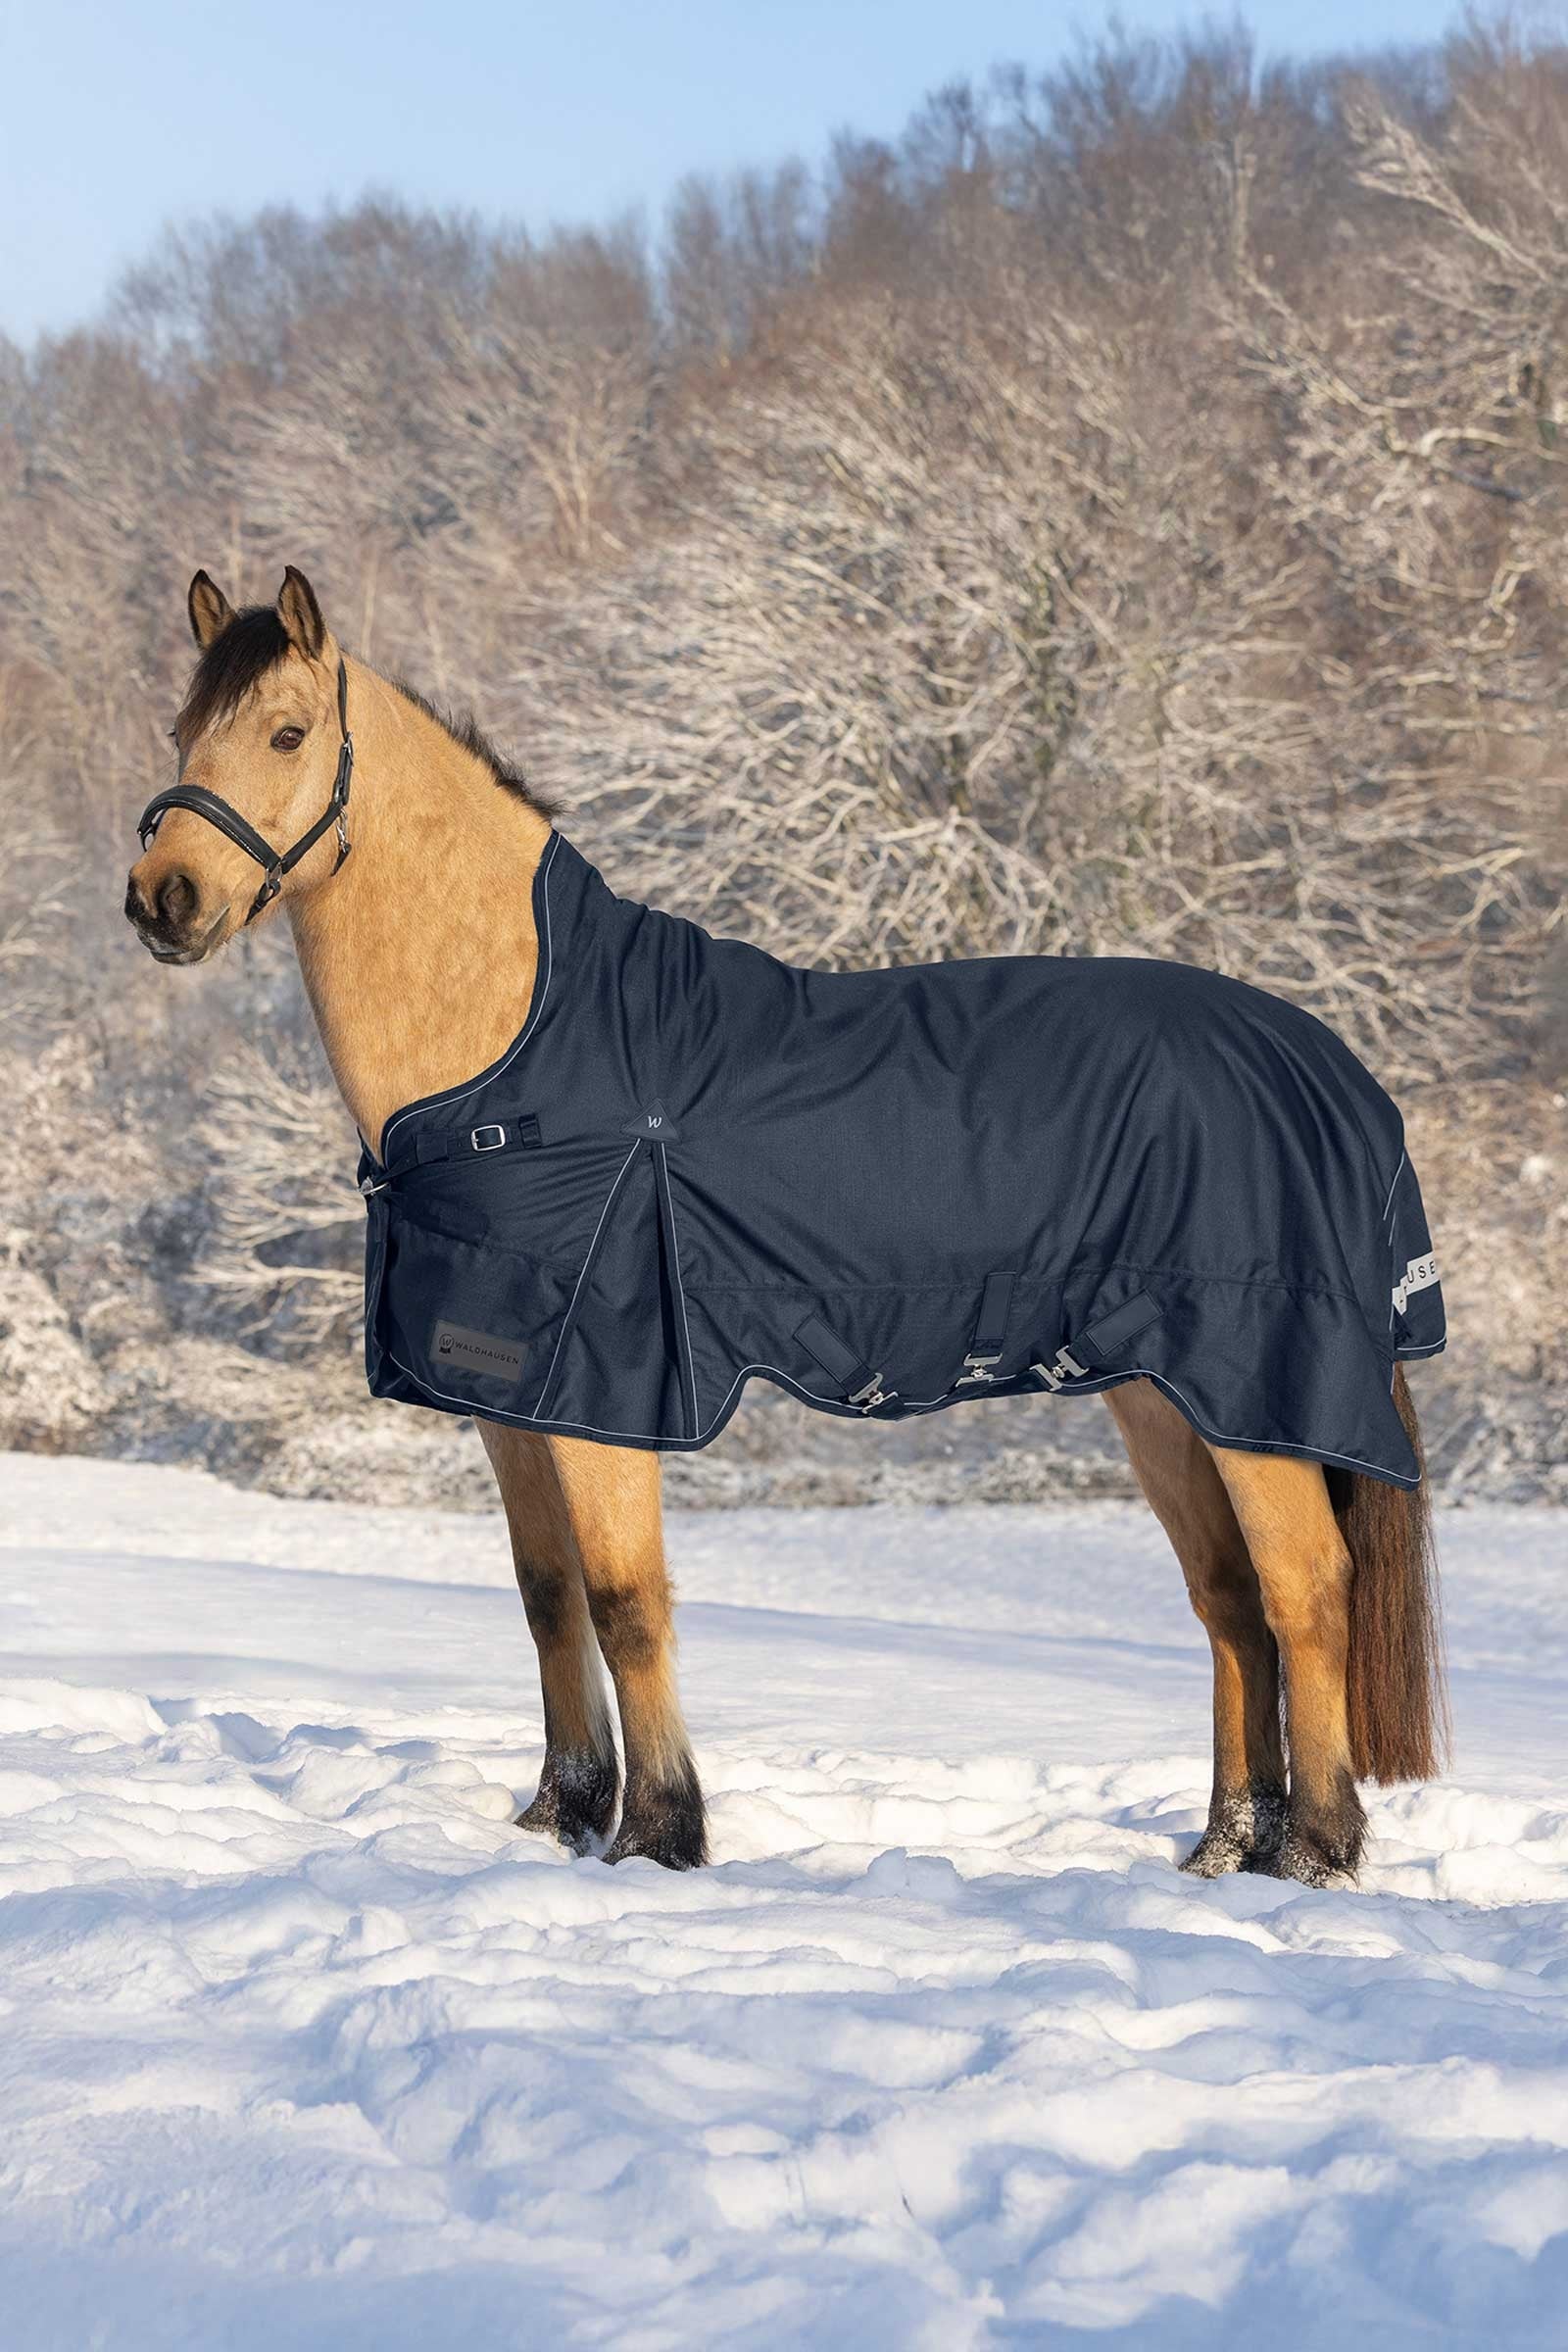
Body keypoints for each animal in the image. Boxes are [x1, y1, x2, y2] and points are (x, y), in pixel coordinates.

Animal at [125, 566, 1447, 1883]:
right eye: (183, 731)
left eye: (287, 732)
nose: (162, 900)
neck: (524, 1053)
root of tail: (1329, 1068)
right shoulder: (513, 1398)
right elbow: (547, 1597)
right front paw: (561, 1816)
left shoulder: (606, 1390)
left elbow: (625, 1601)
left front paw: (659, 1835)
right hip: (1164, 1395)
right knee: (1228, 1601)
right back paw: (1226, 1848)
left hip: (1253, 1396)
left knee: (1305, 1590)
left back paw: (1316, 1852)